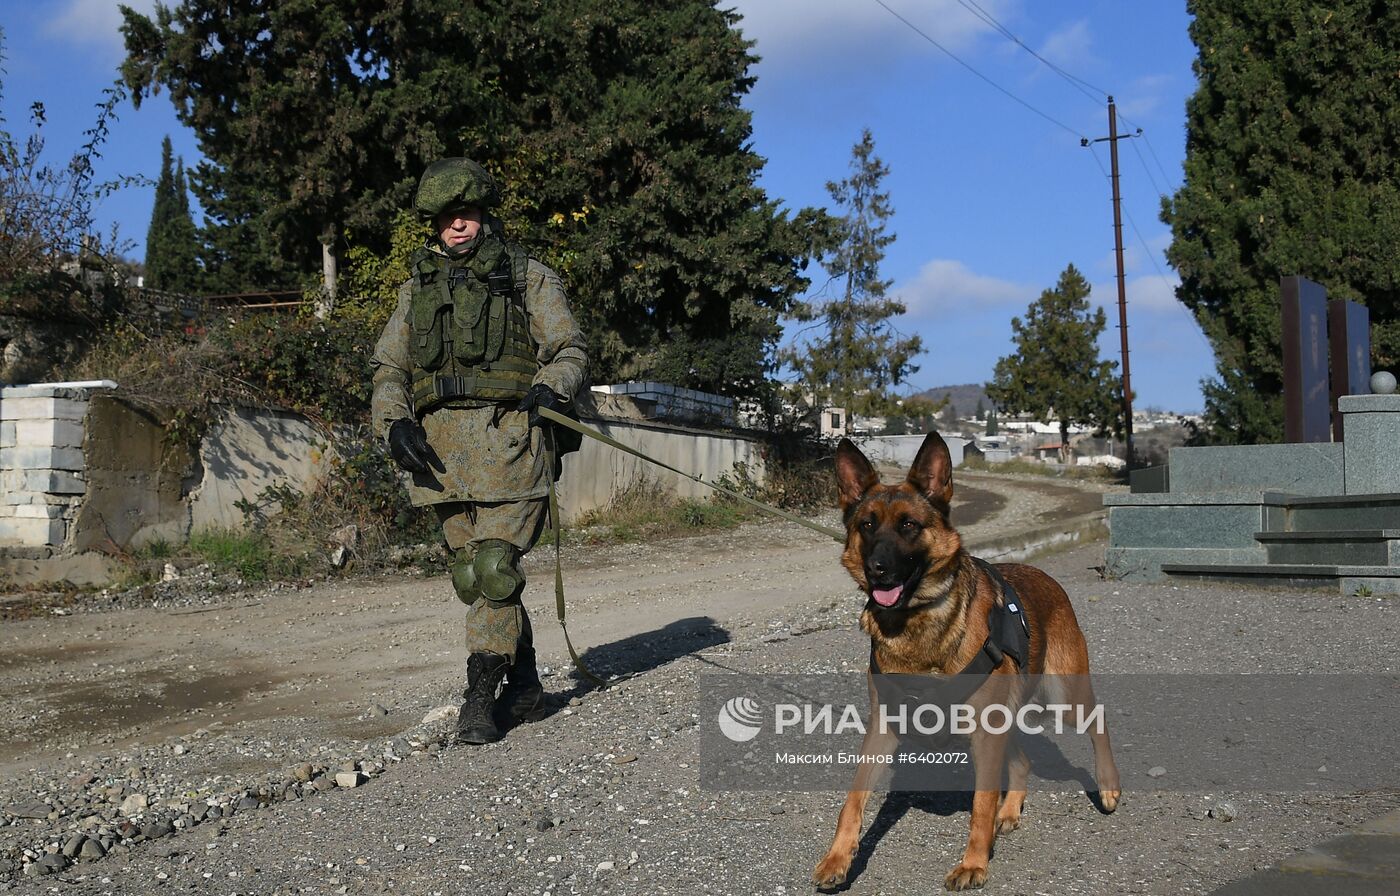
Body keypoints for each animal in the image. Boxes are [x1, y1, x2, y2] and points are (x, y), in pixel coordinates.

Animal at [817, 431, 1120, 890]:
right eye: (866, 525)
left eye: (909, 525)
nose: (876, 570)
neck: (917, 624)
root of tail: (1047, 577)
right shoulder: (884, 728)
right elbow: (852, 800)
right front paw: (838, 858)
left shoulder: (985, 732)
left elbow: (980, 803)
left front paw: (974, 863)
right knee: (1023, 761)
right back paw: (1009, 813)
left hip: (1063, 697)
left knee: (1097, 722)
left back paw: (1107, 787)